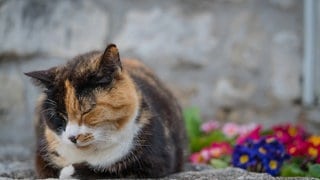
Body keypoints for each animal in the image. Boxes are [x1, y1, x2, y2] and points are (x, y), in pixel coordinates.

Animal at [25, 43, 188, 179]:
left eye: (87, 110)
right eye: (59, 116)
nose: (72, 137)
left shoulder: (153, 162)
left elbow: (108, 170)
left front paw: (69, 172)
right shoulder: (42, 153)